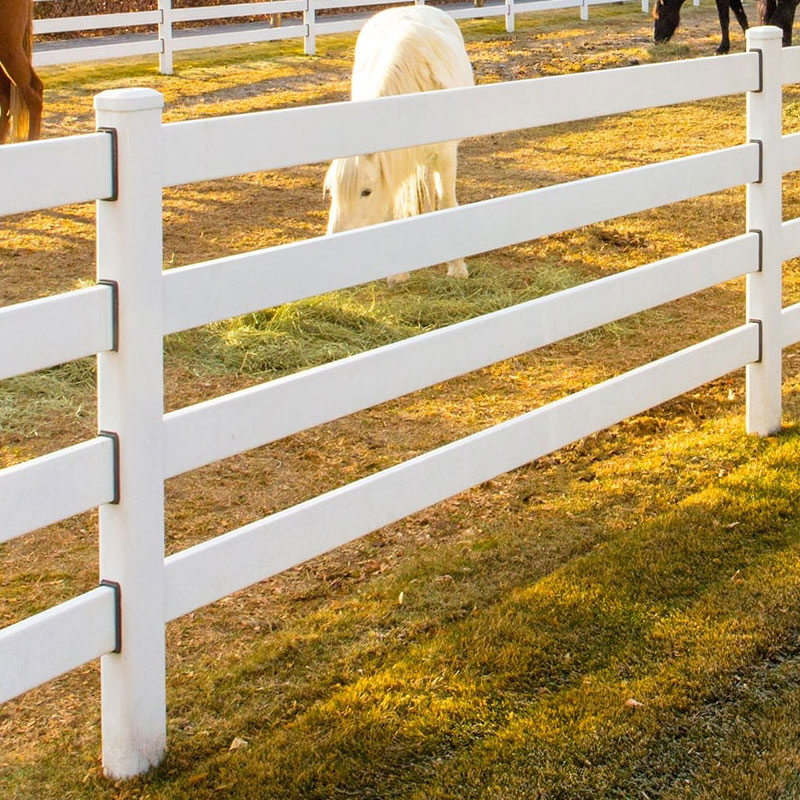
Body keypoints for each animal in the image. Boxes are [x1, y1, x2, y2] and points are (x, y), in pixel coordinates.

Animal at [323, 5, 474, 285]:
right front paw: (398, 274)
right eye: (332, 191)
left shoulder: (447, 156)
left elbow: (449, 204)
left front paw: (457, 268)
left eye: (365, 191)